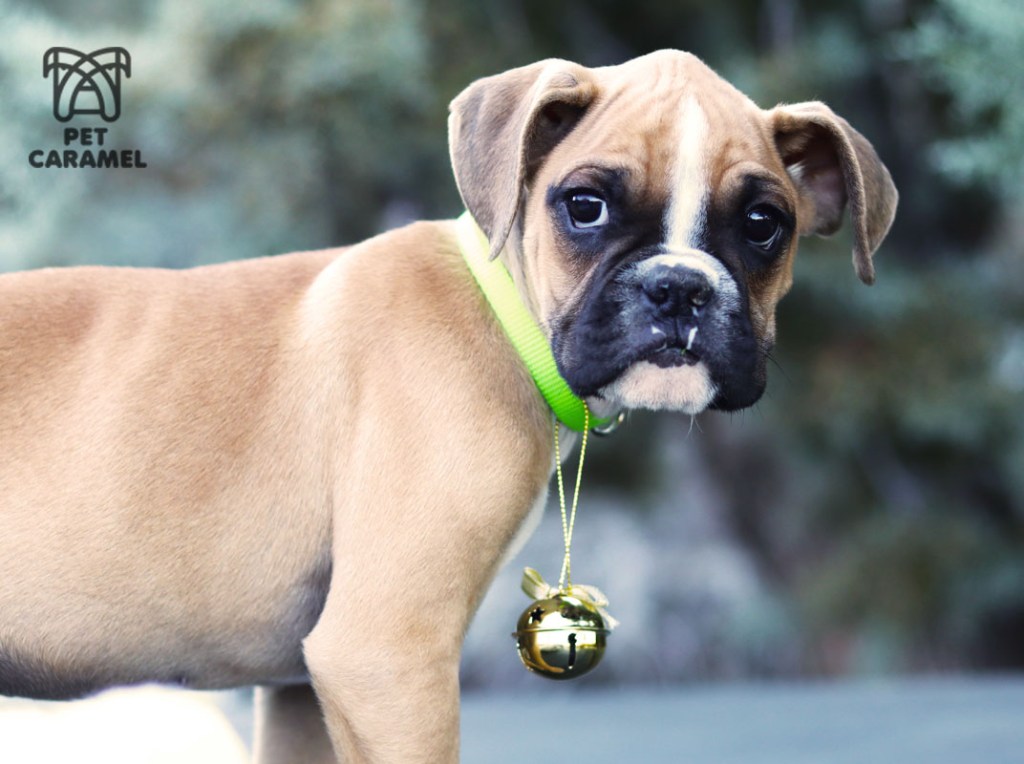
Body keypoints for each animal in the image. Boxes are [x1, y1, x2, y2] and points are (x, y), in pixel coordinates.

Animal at [0, 49, 897, 762]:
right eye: (585, 206)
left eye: (764, 223)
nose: (677, 286)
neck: (503, 313)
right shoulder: (386, 655)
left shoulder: (302, 689)